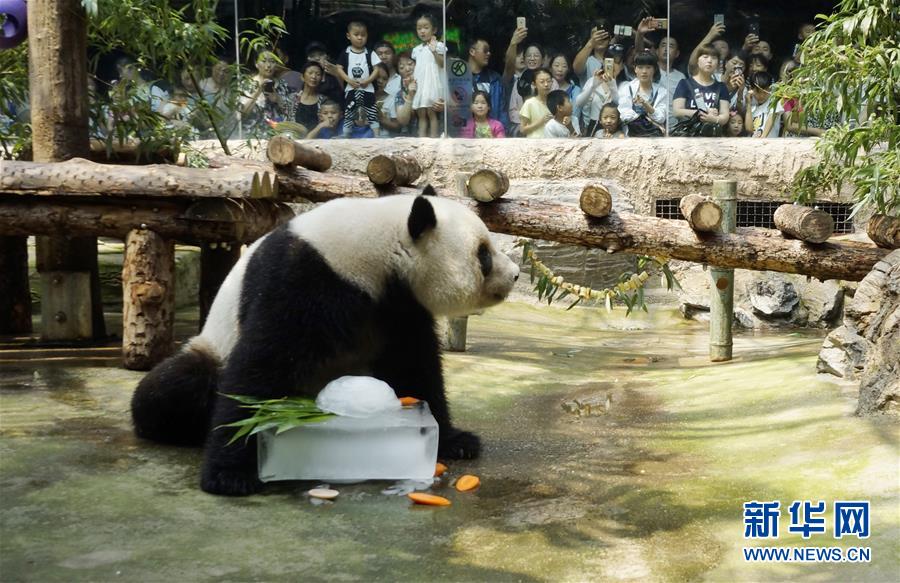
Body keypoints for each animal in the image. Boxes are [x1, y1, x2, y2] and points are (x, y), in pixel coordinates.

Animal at [130, 188, 516, 498]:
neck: (380, 244)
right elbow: (263, 362)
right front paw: (230, 475)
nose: (514, 275)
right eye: (483, 254)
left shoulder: (398, 306)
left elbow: (414, 365)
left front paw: (455, 441)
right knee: (173, 388)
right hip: (211, 346)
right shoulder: (304, 275)